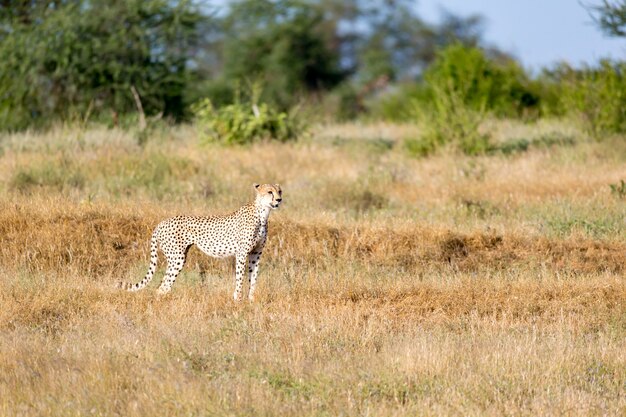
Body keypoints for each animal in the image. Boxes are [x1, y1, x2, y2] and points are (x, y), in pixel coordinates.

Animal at [119, 182, 280, 300]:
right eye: (269, 192)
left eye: (280, 191)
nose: (279, 200)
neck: (262, 213)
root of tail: (161, 223)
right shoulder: (241, 253)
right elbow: (240, 278)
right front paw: (238, 300)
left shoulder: (255, 254)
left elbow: (253, 277)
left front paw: (251, 300)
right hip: (177, 258)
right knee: (162, 286)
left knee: (163, 285)